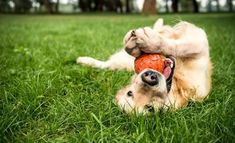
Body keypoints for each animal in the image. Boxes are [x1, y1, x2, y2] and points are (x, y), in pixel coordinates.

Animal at [76, 18, 212, 114]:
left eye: (150, 107)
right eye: (130, 93)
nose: (149, 78)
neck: (177, 81)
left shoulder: (200, 44)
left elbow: (182, 46)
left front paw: (151, 42)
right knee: (106, 64)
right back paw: (84, 60)